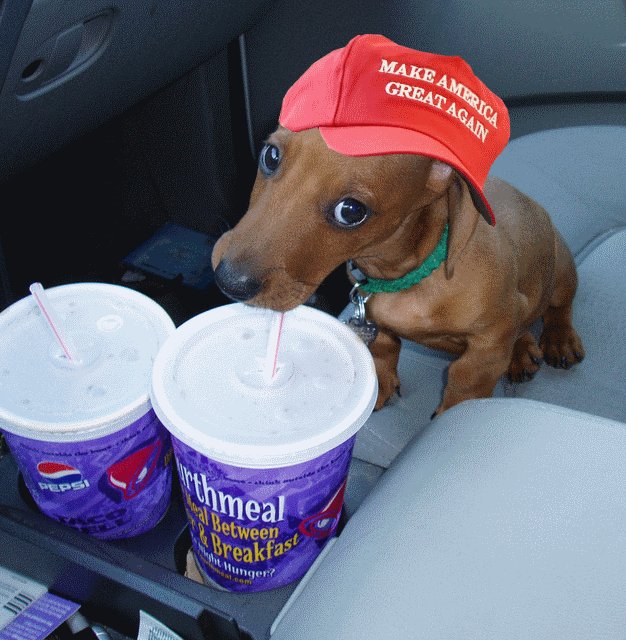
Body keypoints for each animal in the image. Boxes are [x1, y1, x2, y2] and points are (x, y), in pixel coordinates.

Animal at [210, 35, 585, 416]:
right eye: (270, 156)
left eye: (351, 211)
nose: (228, 282)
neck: (414, 272)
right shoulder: (378, 323)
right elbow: (384, 352)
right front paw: (377, 388)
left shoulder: (488, 345)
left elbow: (465, 385)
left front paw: (449, 414)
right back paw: (523, 351)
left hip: (561, 271)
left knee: (559, 307)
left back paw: (557, 339)